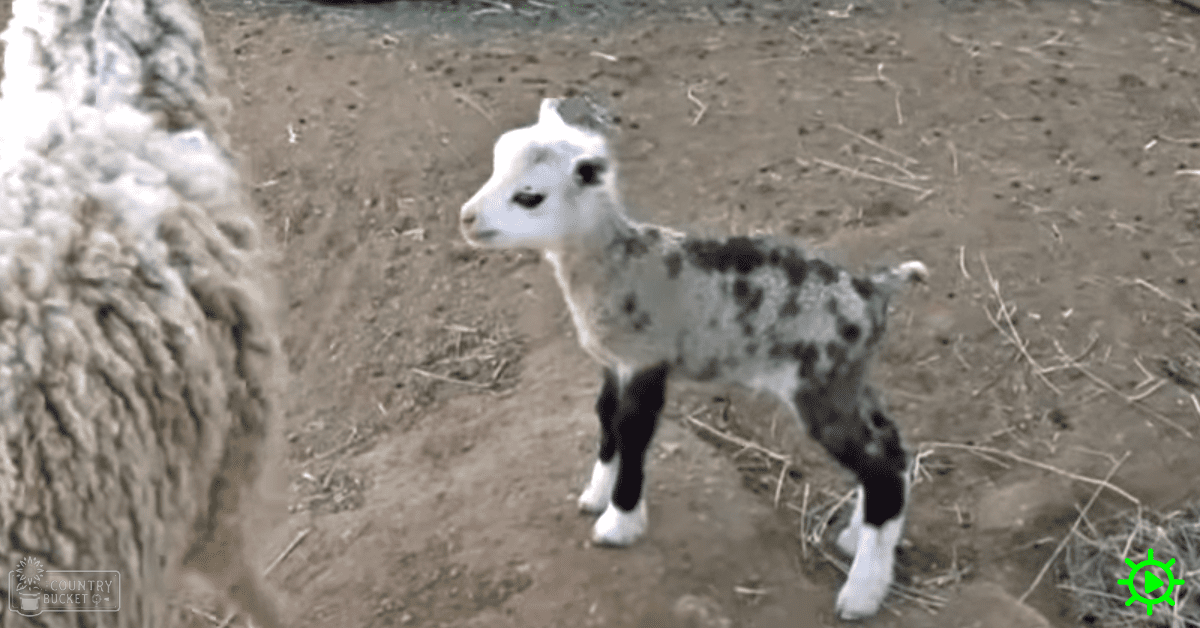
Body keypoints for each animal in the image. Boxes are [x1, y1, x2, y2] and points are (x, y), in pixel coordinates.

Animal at [459, 97, 927, 620]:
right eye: (495, 165)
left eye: (530, 196)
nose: (466, 219)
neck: (616, 263)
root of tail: (875, 290)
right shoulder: (615, 361)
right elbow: (605, 419)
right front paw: (596, 495)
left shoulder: (647, 358)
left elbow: (633, 431)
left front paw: (618, 523)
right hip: (849, 376)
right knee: (890, 445)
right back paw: (856, 537)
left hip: (820, 382)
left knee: (881, 467)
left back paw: (862, 593)